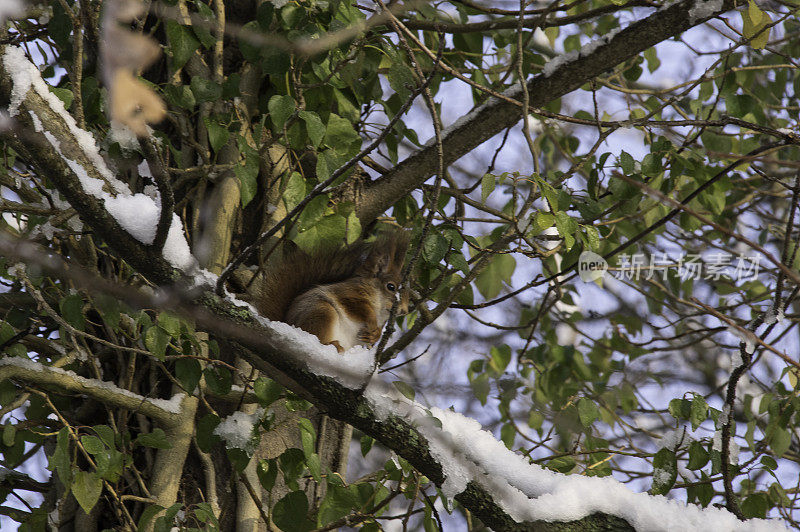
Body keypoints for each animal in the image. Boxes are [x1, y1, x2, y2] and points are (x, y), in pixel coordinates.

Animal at [252, 230, 412, 352]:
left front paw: (376, 335)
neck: (379, 307)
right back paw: (331, 344)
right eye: (391, 287)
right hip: (321, 312)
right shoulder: (349, 293)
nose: (404, 311)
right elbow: (358, 308)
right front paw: (372, 323)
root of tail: (288, 325)